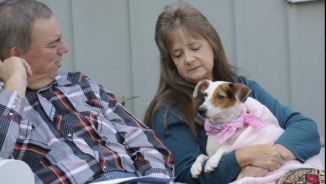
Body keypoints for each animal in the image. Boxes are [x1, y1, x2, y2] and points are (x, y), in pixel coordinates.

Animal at [190, 80, 322, 183]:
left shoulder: (240, 145)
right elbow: (201, 155)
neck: (223, 128)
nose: (200, 110)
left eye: (220, 96)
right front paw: (195, 166)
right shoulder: (209, 152)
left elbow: (225, 147)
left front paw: (212, 161)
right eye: (205, 95)